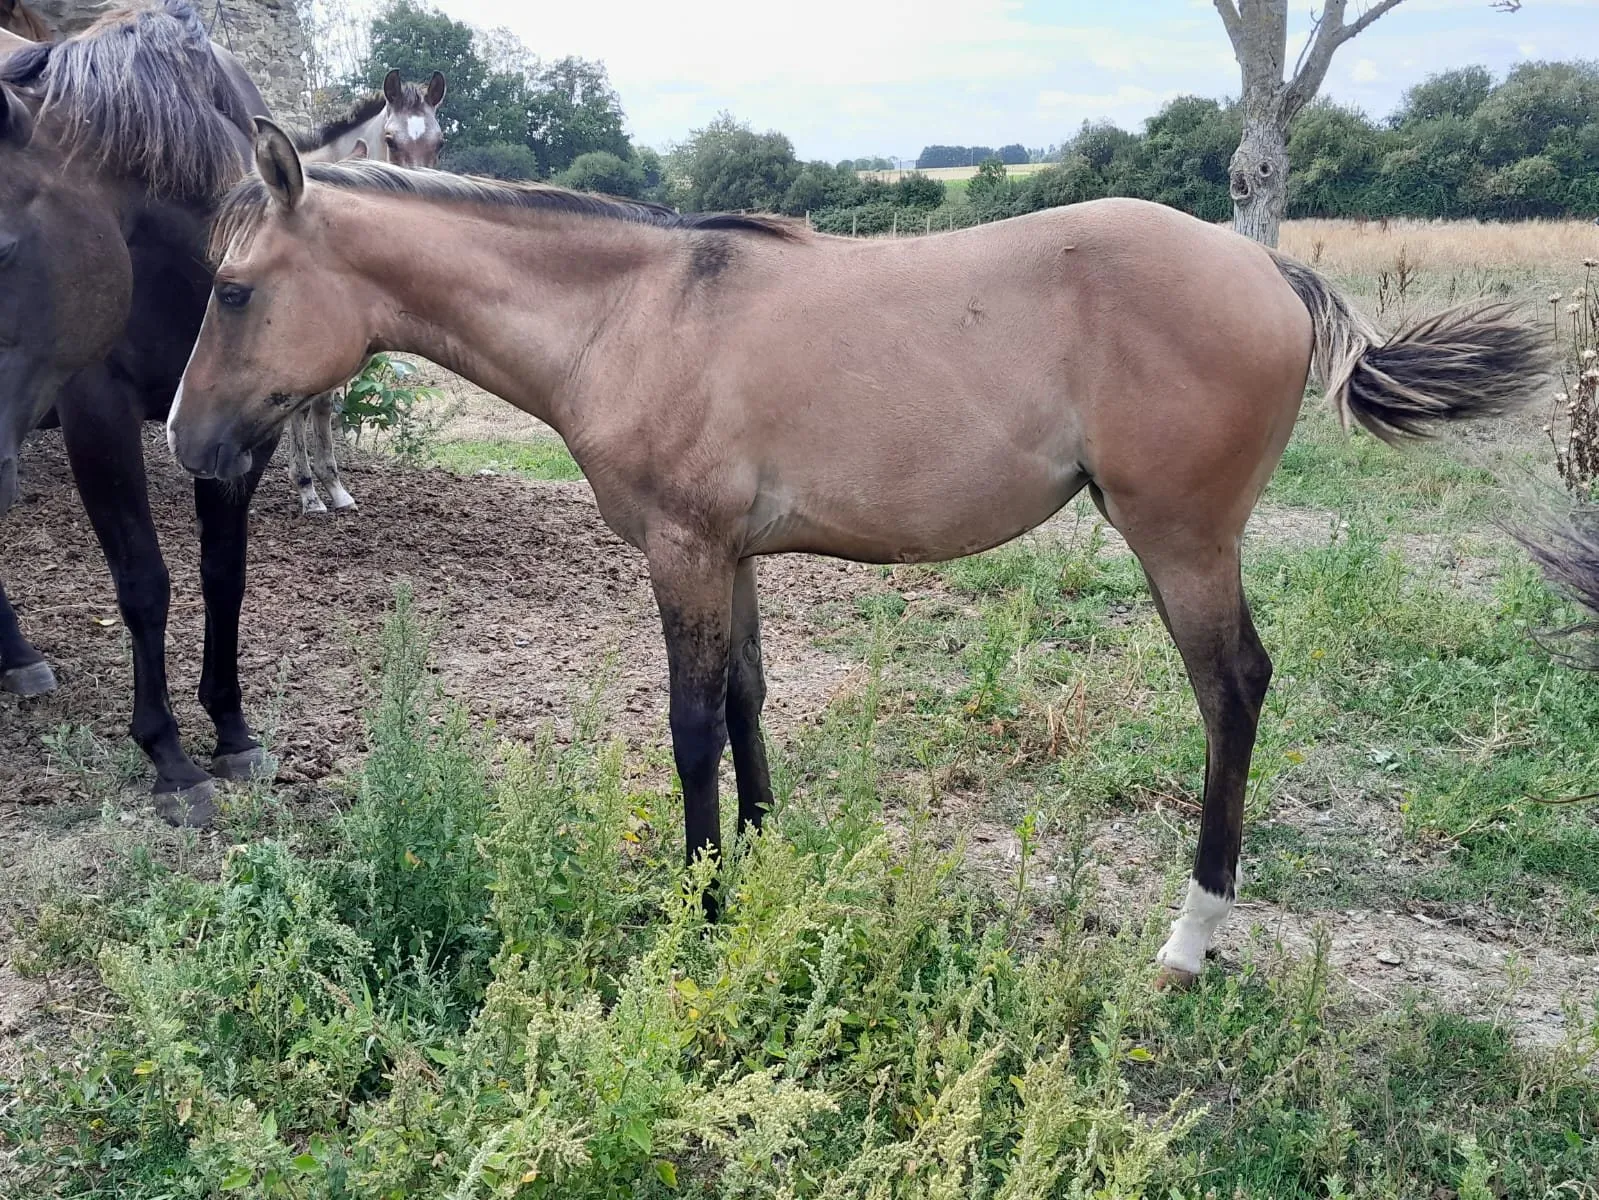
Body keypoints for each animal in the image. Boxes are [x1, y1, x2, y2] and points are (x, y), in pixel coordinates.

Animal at [0, 0, 276, 825]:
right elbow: (144, 583)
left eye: (2, 251)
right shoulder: (99, 417)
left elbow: (224, 575)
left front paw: (231, 729)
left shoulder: (239, 438)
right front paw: (169, 757)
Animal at [168, 124, 1550, 985]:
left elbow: (689, 726)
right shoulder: (731, 556)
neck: (633, 312)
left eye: (233, 290)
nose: (187, 439)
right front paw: (764, 870)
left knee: (1233, 691)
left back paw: (1191, 936)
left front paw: (703, 908)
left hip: (1183, 543)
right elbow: (744, 702)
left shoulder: (681, 553)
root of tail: (1268, 266)